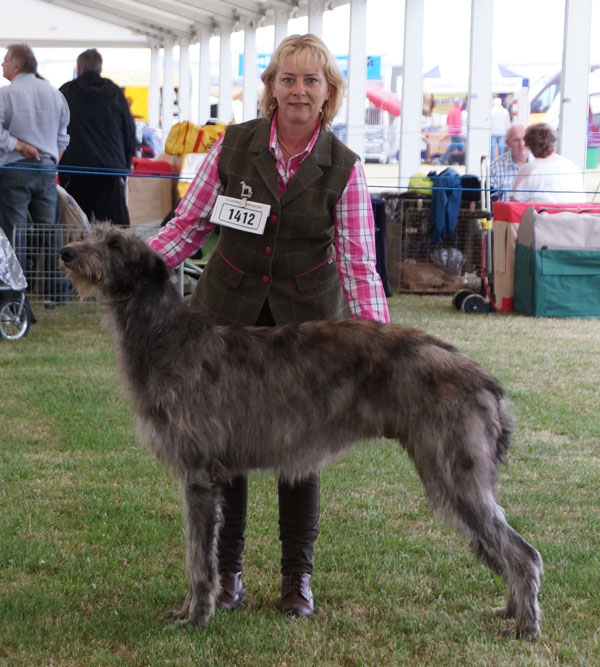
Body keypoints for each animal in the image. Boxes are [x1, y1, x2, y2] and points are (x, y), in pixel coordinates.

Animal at [61, 226, 544, 640]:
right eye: (91, 234)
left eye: (116, 244)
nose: (66, 252)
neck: (167, 336)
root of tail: (486, 381)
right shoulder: (209, 477)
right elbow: (198, 552)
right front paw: (188, 611)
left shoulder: (198, 476)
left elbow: (198, 559)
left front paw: (196, 617)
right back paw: (510, 611)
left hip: (455, 472)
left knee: (524, 553)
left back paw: (525, 626)